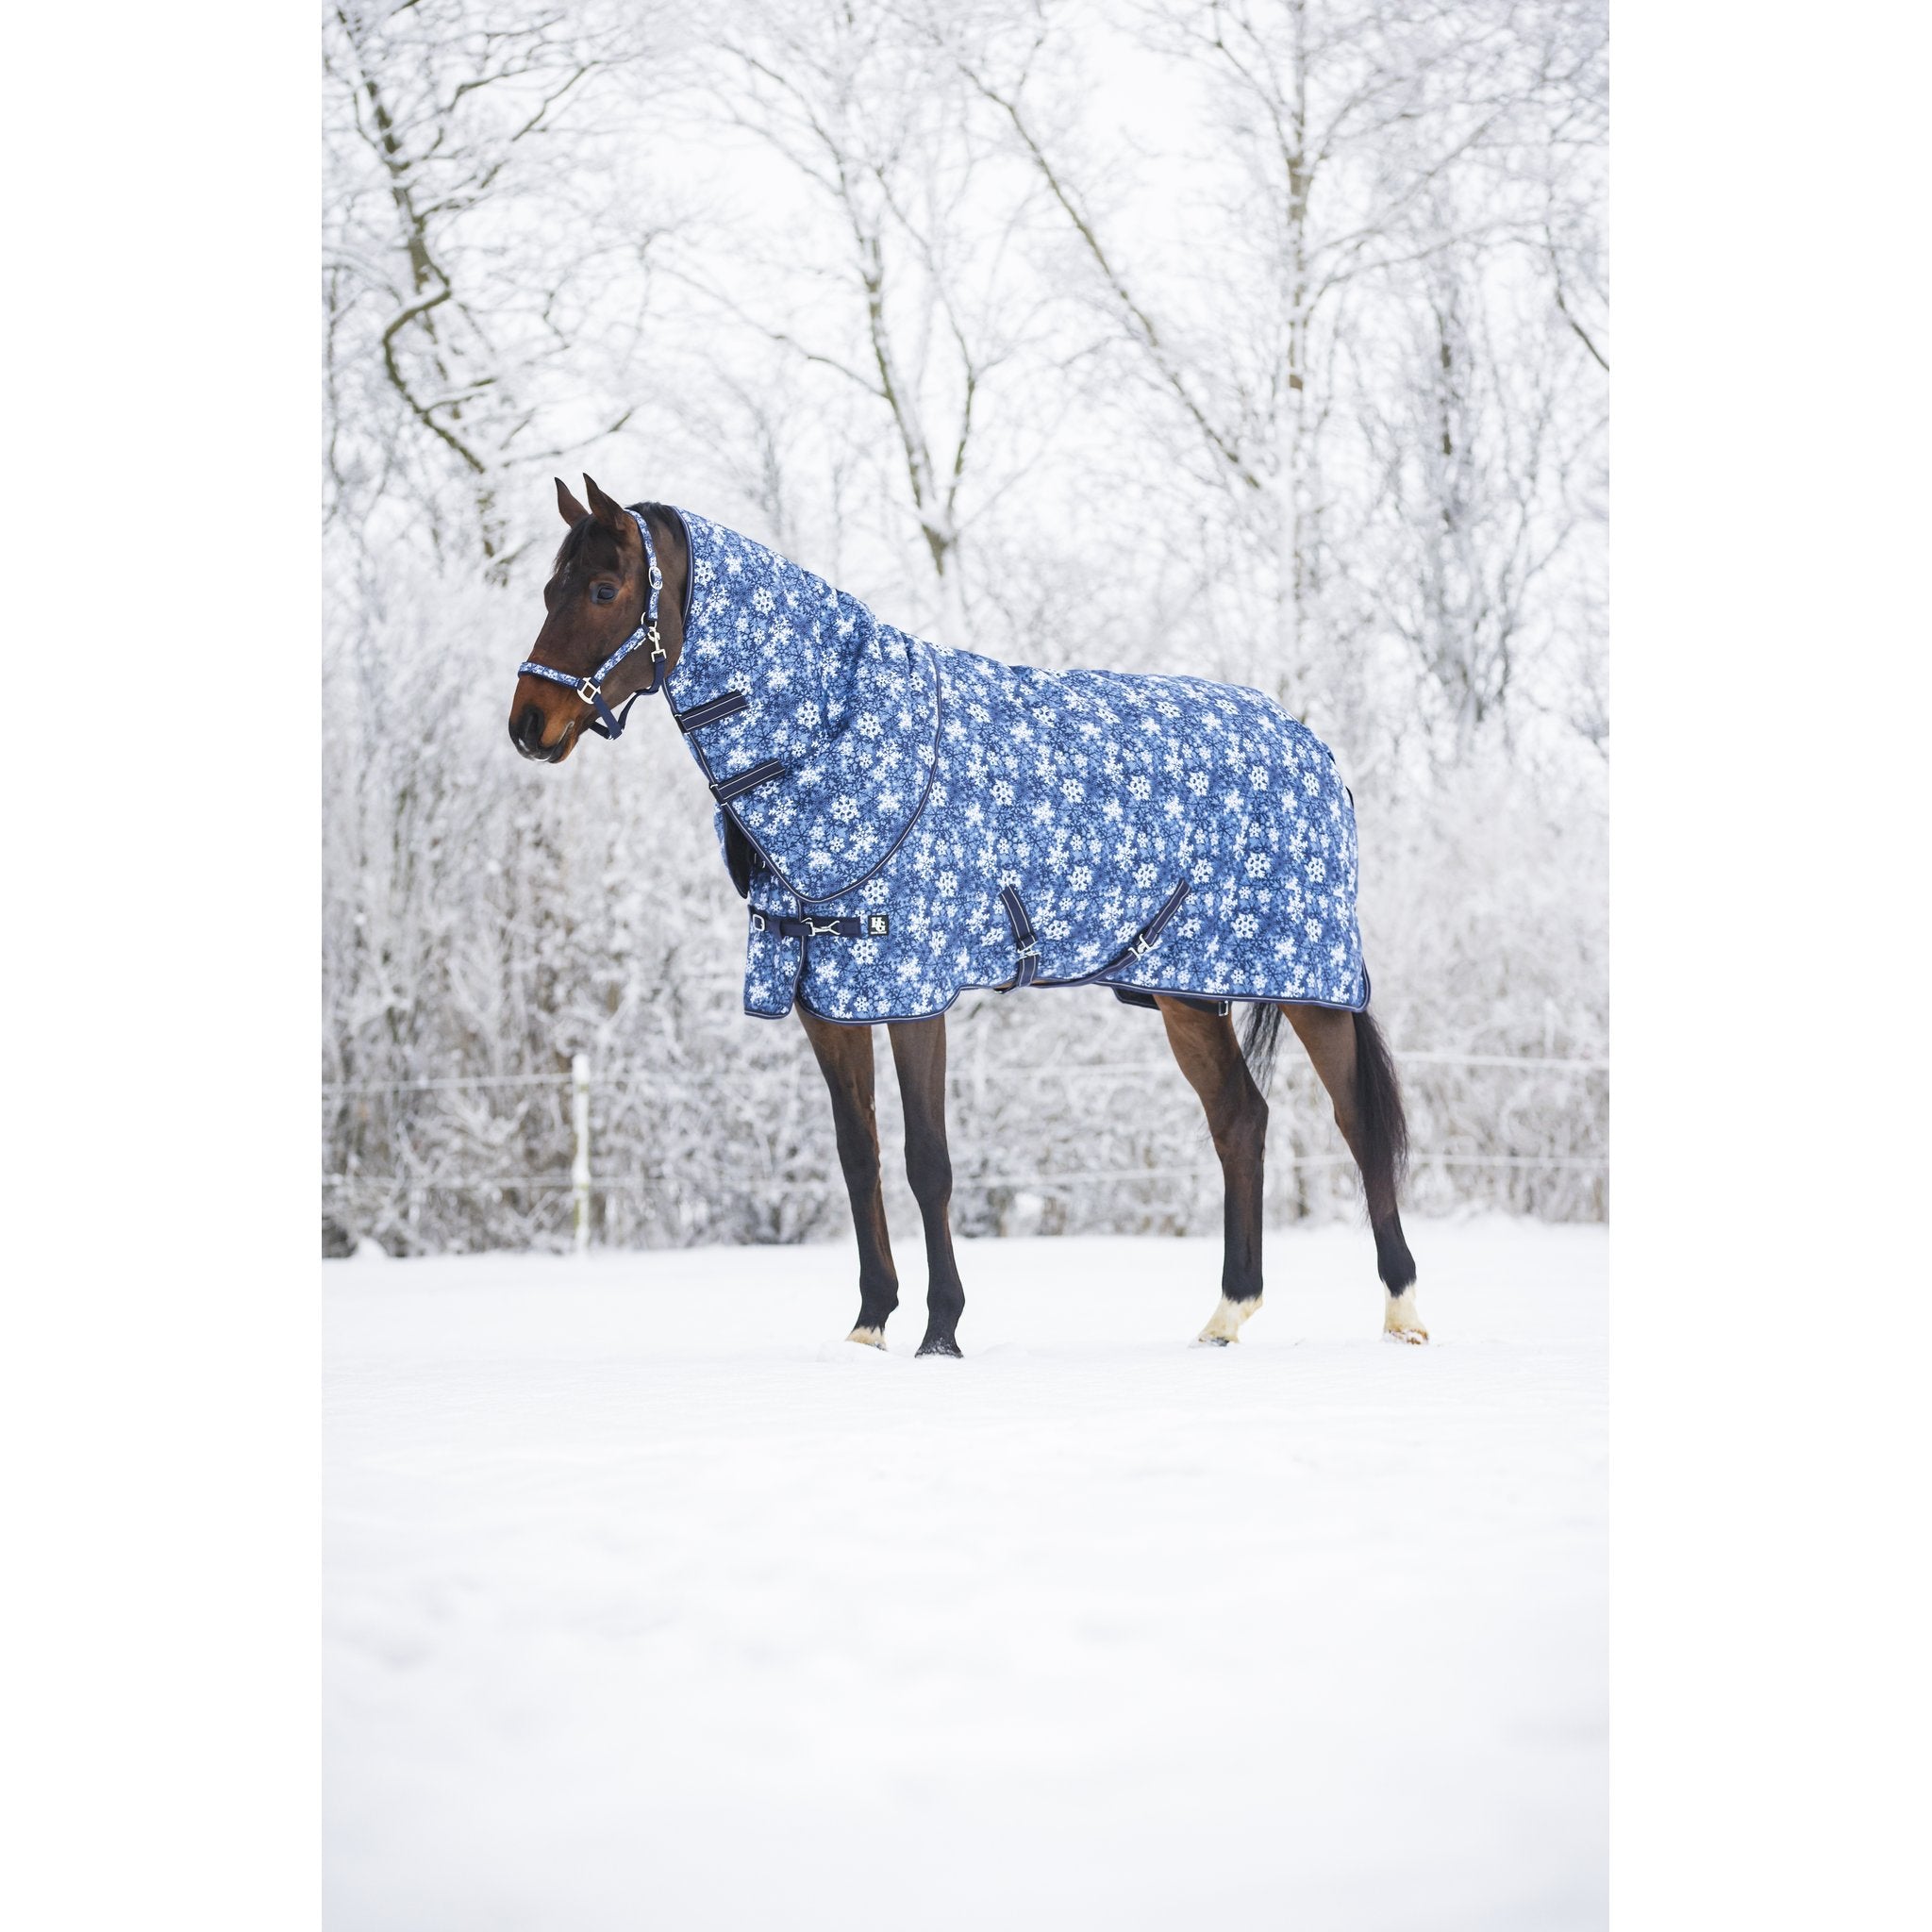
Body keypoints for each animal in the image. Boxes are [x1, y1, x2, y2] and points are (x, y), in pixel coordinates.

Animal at [508, 474, 1424, 1357]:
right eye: (550, 588)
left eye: (602, 589)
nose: (528, 725)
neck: (838, 740)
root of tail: (1313, 746)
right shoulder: (826, 996)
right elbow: (860, 1157)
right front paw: (870, 1324)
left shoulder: (915, 992)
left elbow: (928, 1161)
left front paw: (940, 1330)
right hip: (1187, 993)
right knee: (1239, 1120)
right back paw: (1228, 1315)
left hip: (1309, 985)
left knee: (1356, 1122)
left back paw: (1403, 1311)